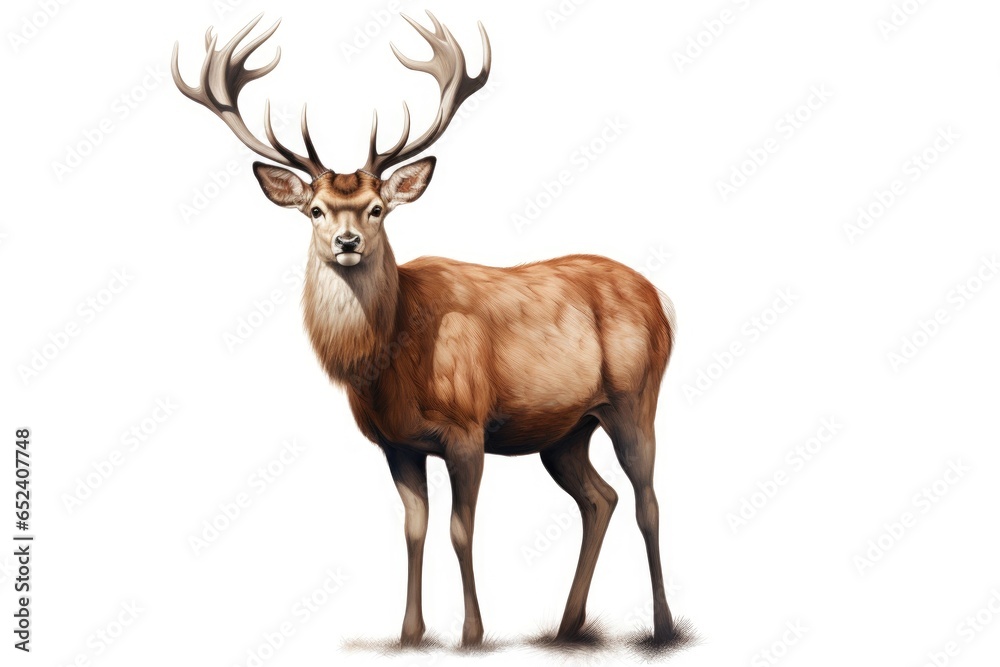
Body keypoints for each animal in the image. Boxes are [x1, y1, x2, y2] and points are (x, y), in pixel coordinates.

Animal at [172, 12, 678, 648]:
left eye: (376, 208)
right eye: (315, 210)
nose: (347, 241)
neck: (390, 365)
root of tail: (662, 301)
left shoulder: (468, 427)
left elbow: (461, 529)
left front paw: (472, 633)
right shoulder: (398, 445)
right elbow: (415, 528)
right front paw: (411, 633)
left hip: (636, 397)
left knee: (647, 500)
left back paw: (662, 626)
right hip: (564, 431)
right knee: (599, 499)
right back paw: (567, 626)